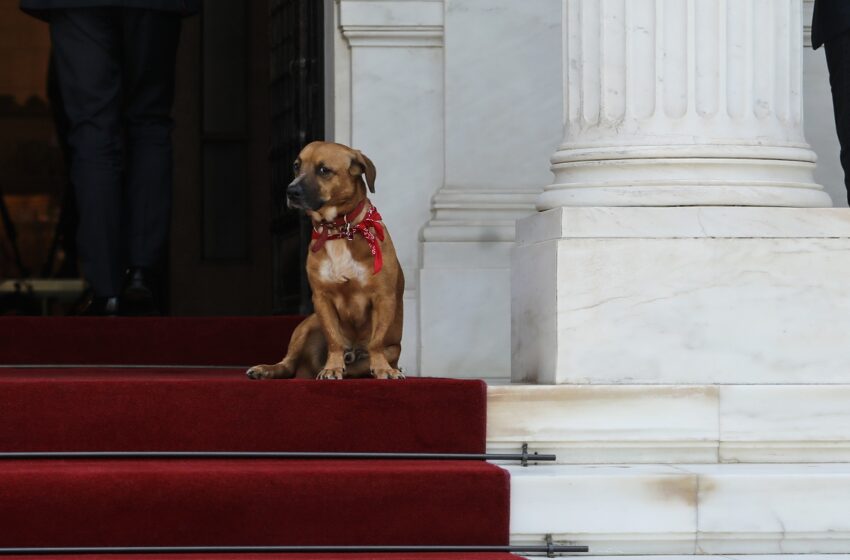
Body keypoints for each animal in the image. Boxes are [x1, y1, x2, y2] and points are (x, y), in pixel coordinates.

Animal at [245, 142, 404, 382]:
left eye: (324, 170)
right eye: (296, 166)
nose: (290, 191)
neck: (339, 230)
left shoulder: (383, 298)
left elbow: (376, 341)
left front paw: (383, 369)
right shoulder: (321, 299)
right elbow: (333, 339)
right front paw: (332, 367)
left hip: (393, 348)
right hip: (306, 325)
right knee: (288, 364)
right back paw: (267, 369)